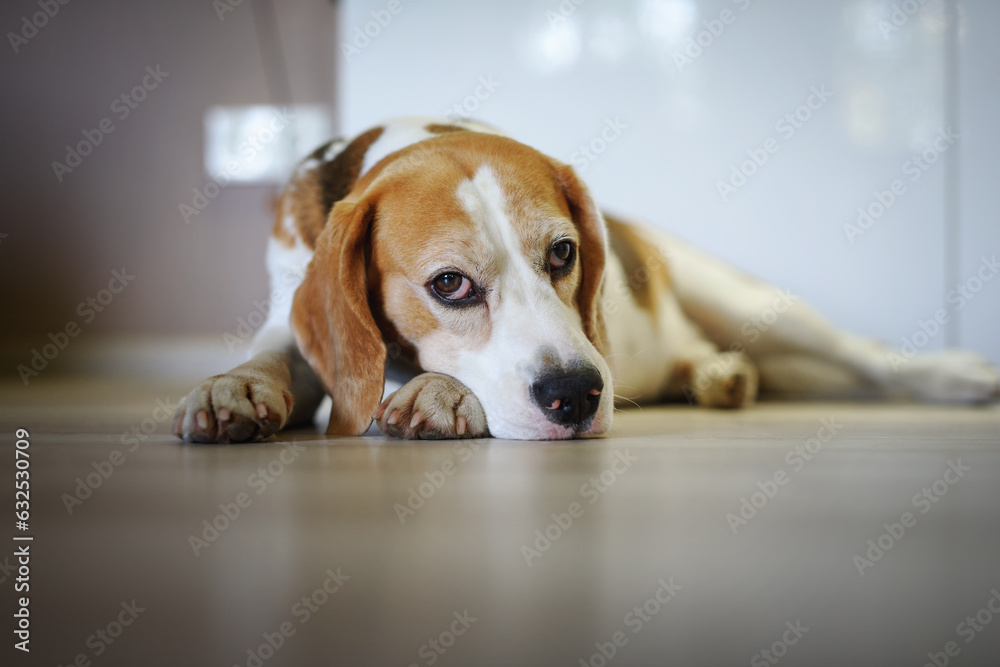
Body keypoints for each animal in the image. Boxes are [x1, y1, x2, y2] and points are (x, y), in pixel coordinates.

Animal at [174, 117, 1000, 444]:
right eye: (449, 285)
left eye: (563, 253)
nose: (576, 394)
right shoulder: (292, 312)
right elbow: (274, 354)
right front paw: (230, 388)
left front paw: (437, 393)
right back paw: (715, 375)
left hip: (744, 297)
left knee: (868, 353)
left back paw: (955, 375)